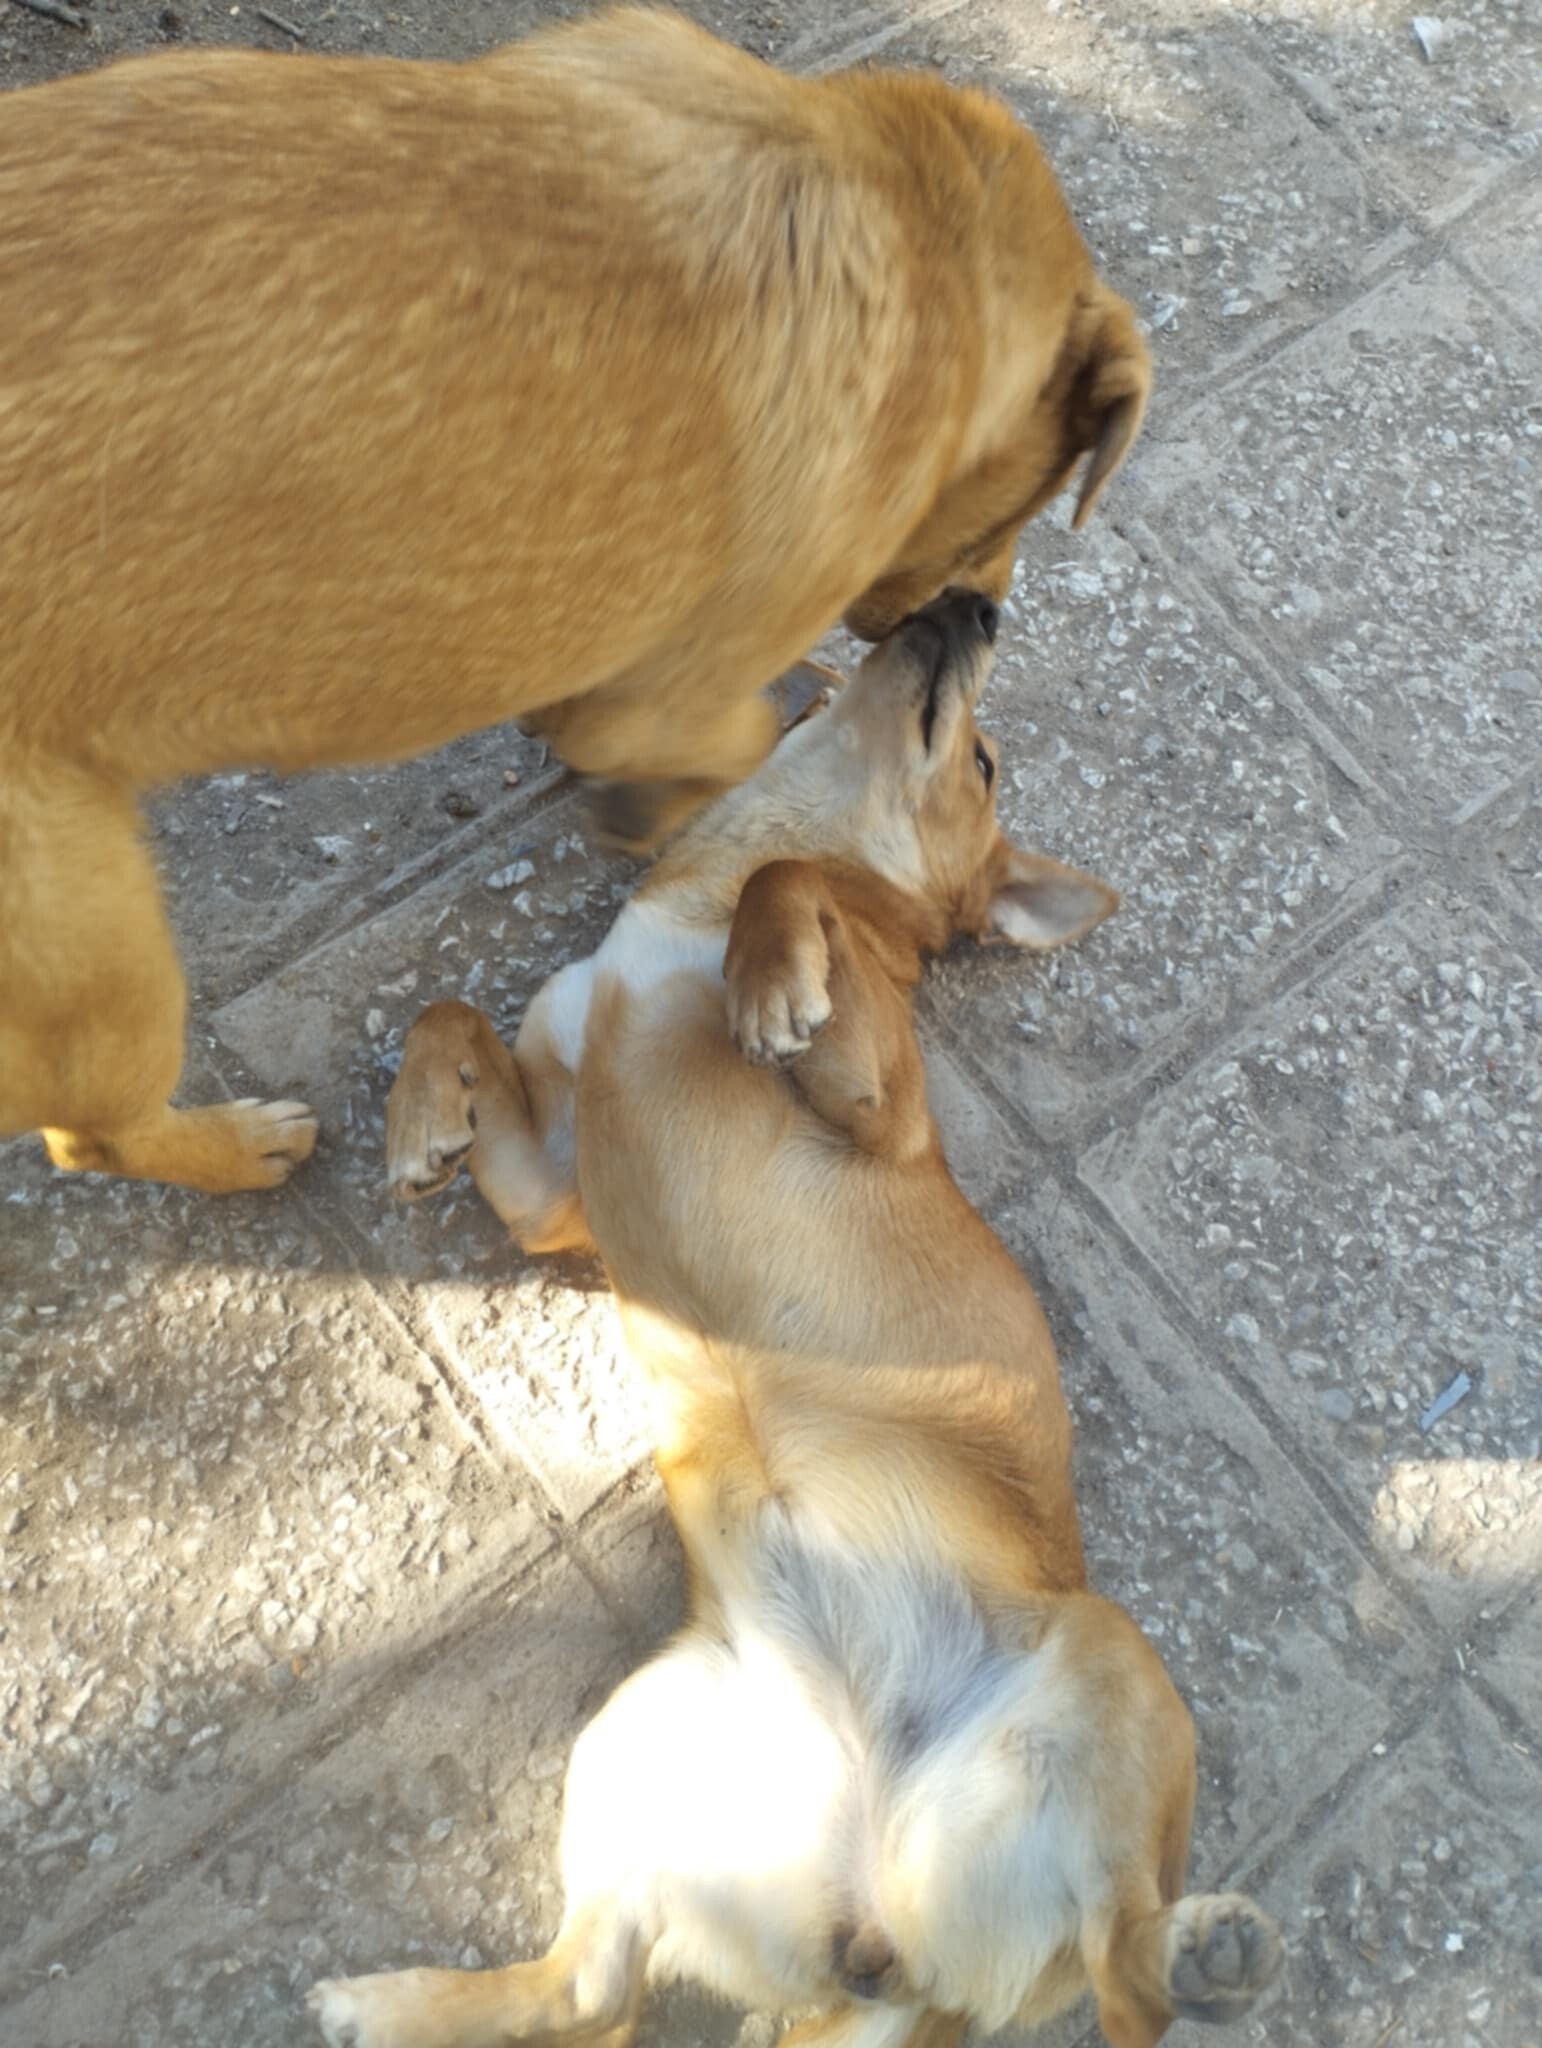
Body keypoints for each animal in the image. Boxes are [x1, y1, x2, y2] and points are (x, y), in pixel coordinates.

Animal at [0, 6, 1150, 1197]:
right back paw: (239, 1143)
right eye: (1035, 502)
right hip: (105, 959)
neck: (904, 210)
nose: (985, 613)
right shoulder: (666, 704)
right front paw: (668, 808)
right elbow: (742, 752)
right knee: (89, 1133)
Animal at [308, 591, 1282, 2048]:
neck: (693, 888)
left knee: (1128, 1970)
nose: (974, 599)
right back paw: (392, 2001)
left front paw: (767, 980)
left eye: (981, 758)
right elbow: (452, 1011)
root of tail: (881, 1937)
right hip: (638, 1741)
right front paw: (423, 1121)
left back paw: (1208, 1946)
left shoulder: (864, 1095)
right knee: (589, 1986)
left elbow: (791, 889)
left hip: (1114, 1675)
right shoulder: (552, 1190)